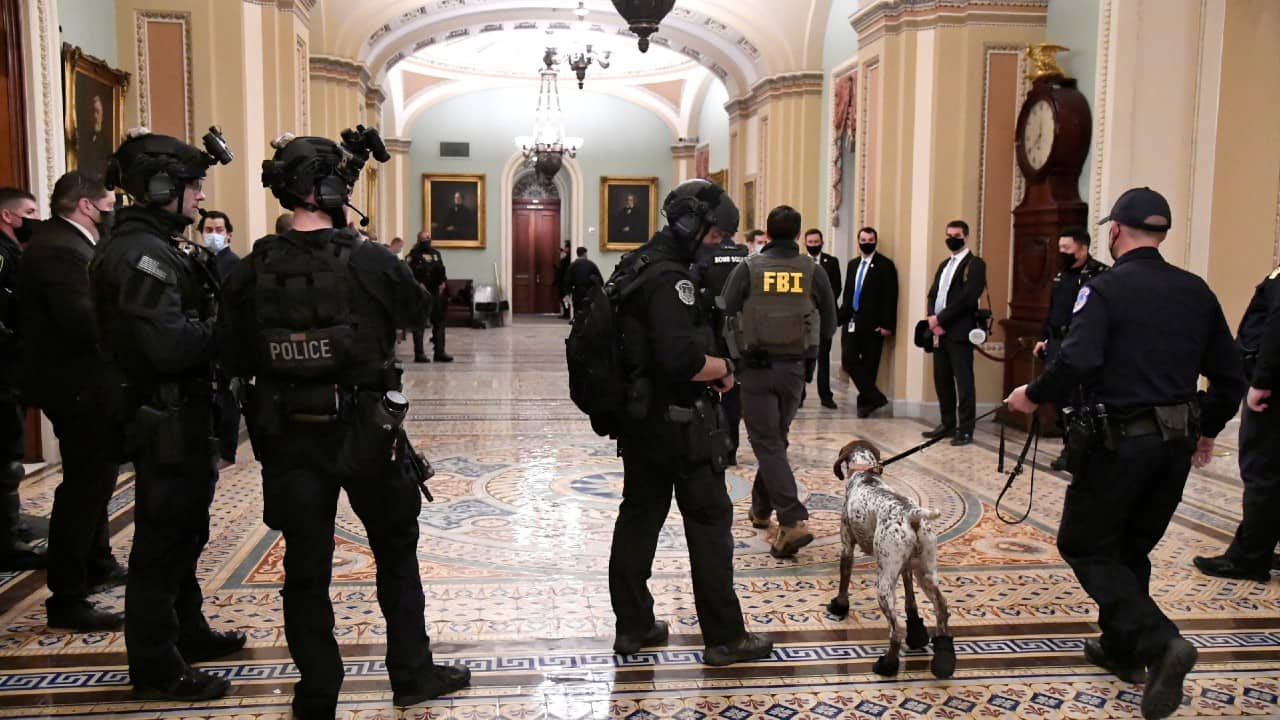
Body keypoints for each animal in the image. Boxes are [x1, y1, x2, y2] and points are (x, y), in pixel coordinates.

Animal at [824, 435, 957, 676]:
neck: (865, 474)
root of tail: (912, 514)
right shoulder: (905, 567)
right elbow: (911, 602)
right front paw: (918, 632)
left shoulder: (847, 547)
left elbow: (843, 583)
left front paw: (839, 606)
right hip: (924, 572)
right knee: (942, 608)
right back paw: (944, 659)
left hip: (884, 585)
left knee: (895, 632)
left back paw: (887, 665)